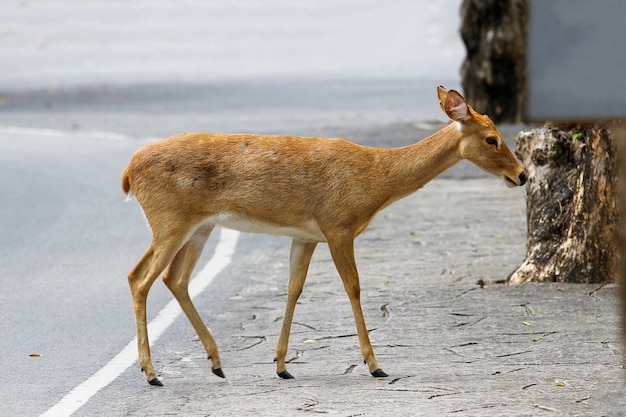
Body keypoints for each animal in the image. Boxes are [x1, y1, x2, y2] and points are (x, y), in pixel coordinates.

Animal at [120, 86, 520, 386]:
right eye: (492, 139)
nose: (522, 176)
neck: (376, 179)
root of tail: (128, 171)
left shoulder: (307, 235)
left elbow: (294, 289)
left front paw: (282, 366)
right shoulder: (338, 225)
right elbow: (353, 288)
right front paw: (375, 365)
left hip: (199, 226)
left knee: (175, 278)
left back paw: (216, 362)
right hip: (169, 220)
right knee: (139, 277)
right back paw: (152, 373)